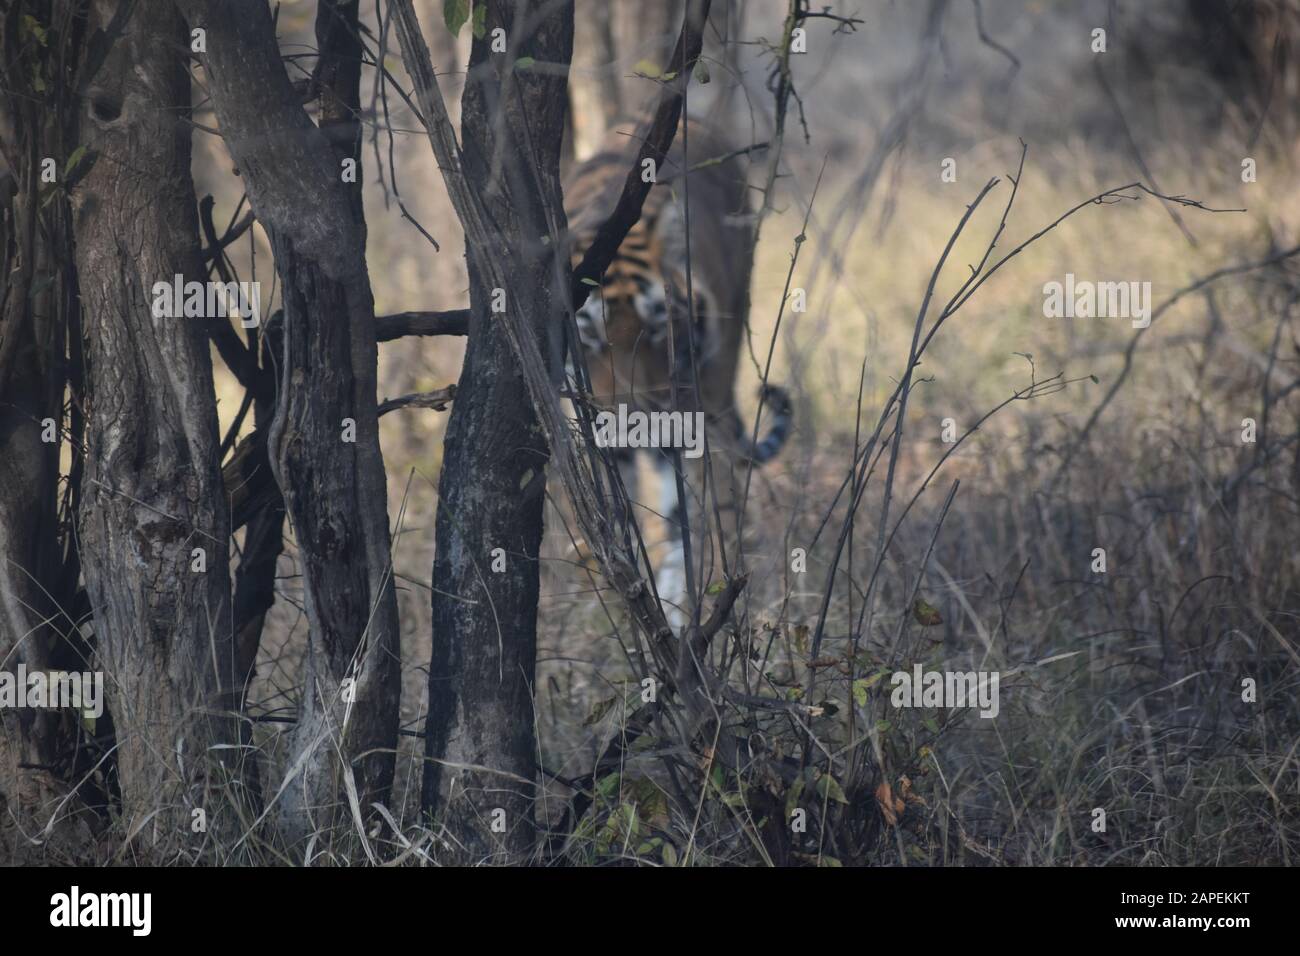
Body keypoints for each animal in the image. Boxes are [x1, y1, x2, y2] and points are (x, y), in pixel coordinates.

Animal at [561, 119, 790, 624]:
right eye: (589, 335)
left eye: (657, 325)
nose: (634, 417)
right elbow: (622, 524)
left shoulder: (688, 420)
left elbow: (686, 520)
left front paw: (678, 612)